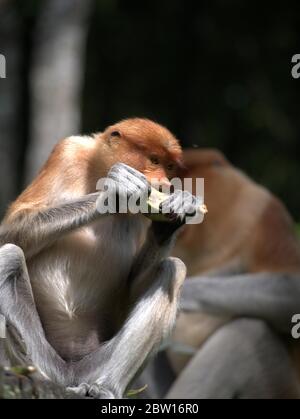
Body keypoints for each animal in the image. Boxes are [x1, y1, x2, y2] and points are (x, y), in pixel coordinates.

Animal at [0, 119, 203, 400]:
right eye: (154, 160)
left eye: (170, 166)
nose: (165, 186)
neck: (96, 173)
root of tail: (68, 373)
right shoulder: (67, 152)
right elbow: (9, 231)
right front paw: (116, 192)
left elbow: (128, 294)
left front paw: (175, 214)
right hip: (41, 356)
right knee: (9, 254)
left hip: (95, 363)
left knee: (174, 269)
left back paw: (104, 387)